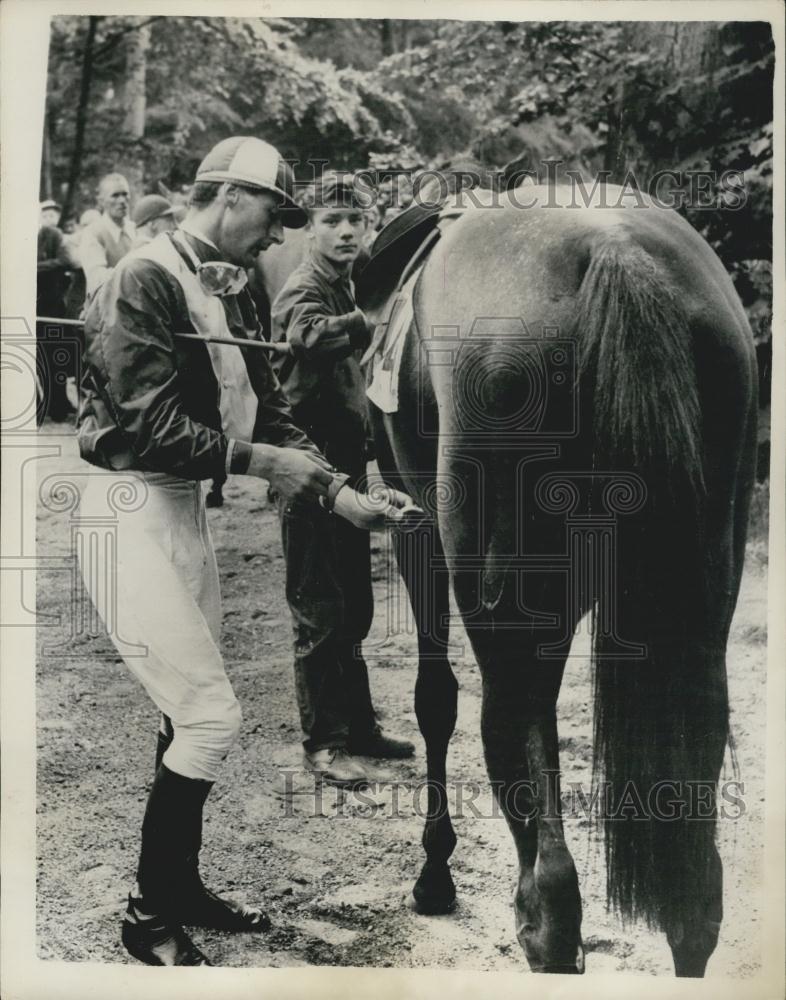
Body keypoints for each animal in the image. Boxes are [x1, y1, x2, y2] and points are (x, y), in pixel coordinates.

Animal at [260, 182, 756, 976]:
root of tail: (615, 252)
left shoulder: (419, 534)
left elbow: (435, 699)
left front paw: (433, 876)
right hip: (700, 612)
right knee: (694, 896)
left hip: (508, 613)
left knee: (547, 883)